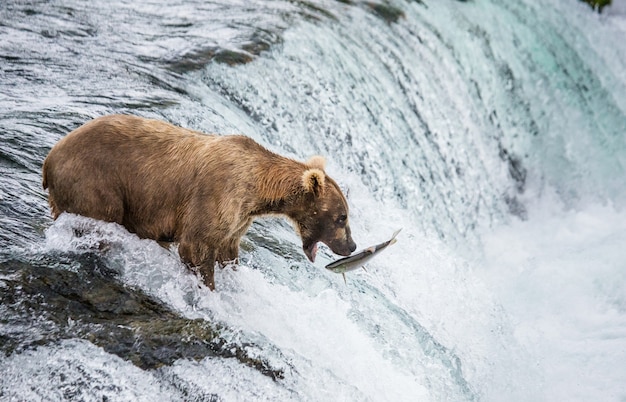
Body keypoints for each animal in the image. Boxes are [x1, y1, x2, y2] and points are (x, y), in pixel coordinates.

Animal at [42, 114, 356, 290]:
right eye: (342, 217)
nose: (351, 246)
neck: (258, 189)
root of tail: (49, 158)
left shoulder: (238, 220)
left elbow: (228, 252)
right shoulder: (216, 196)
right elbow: (196, 246)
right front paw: (209, 290)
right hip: (96, 183)